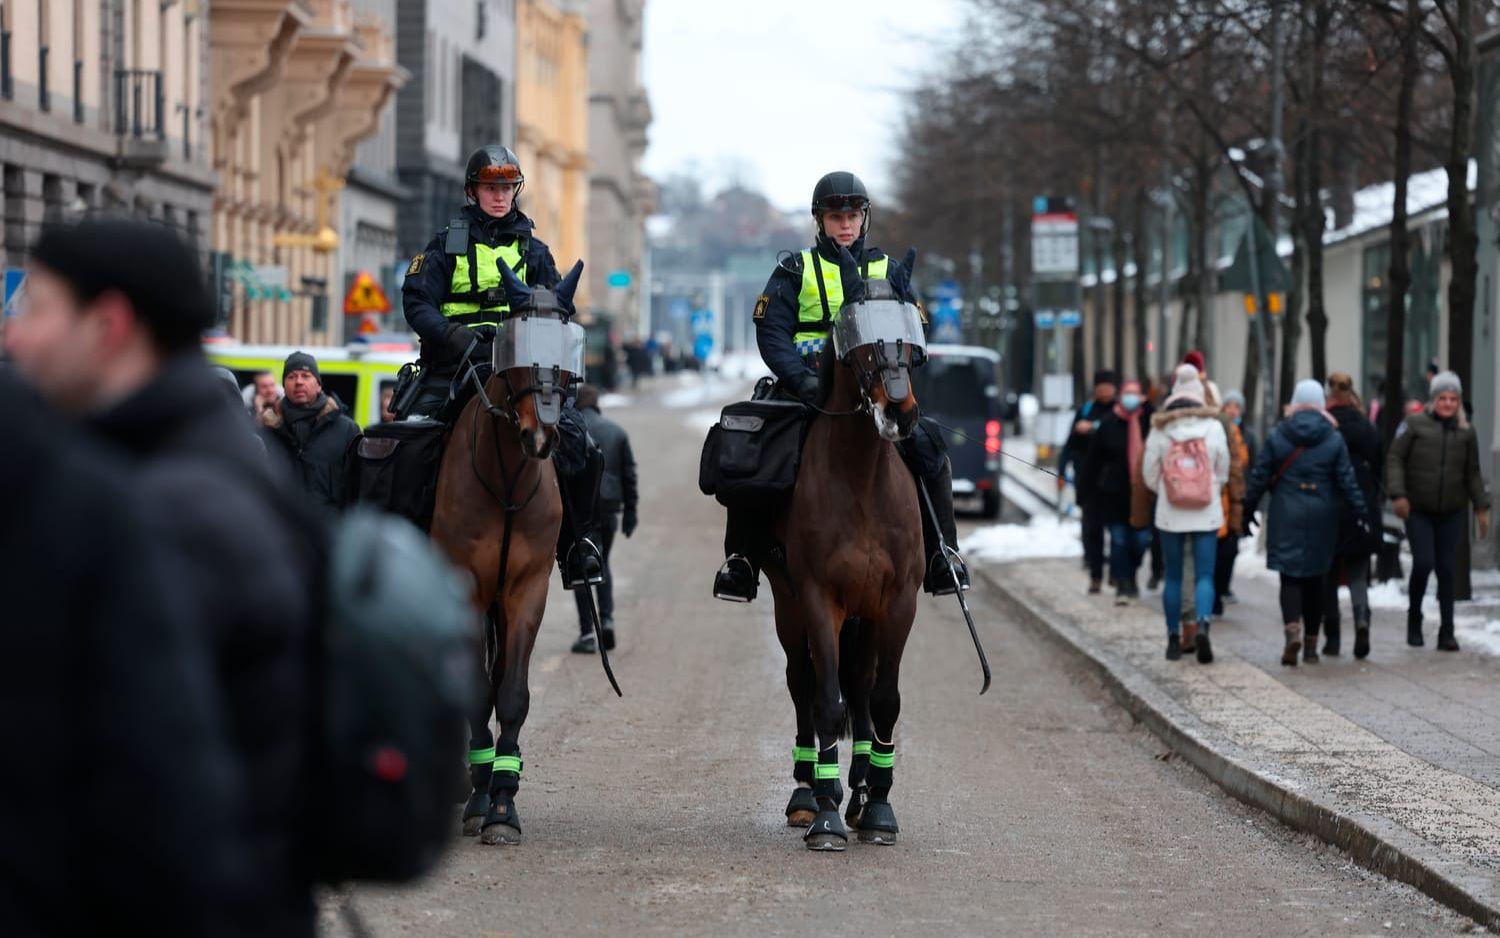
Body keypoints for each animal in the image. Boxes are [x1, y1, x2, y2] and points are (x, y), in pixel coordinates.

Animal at [429, 259, 585, 846]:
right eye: (515, 342)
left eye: (567, 344)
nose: (542, 436)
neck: (508, 481)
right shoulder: (466, 589)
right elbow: (476, 691)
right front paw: (478, 799)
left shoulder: (525, 589)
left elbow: (511, 692)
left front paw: (501, 803)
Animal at [768, 264, 930, 846]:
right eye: (861, 344)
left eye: (913, 332)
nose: (899, 413)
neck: (861, 479)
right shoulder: (819, 600)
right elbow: (825, 700)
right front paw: (827, 814)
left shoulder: (898, 603)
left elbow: (882, 700)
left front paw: (877, 806)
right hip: (788, 605)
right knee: (803, 682)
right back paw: (806, 794)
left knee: (860, 687)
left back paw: (860, 792)